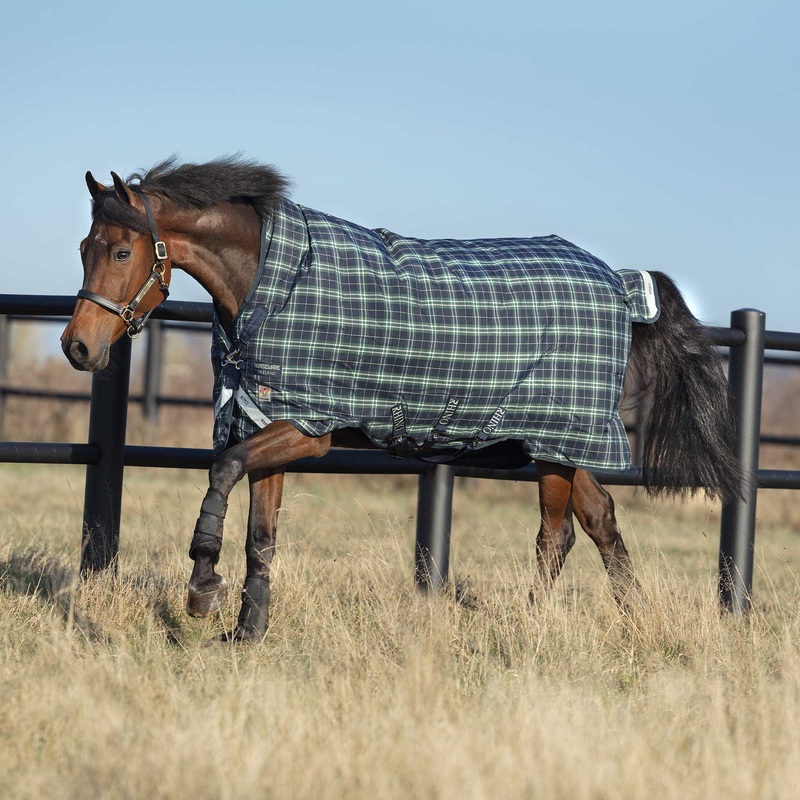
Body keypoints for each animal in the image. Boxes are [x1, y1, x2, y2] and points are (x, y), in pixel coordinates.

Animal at [61, 157, 741, 642]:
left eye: (121, 251)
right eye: (83, 249)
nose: (77, 347)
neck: (273, 281)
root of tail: (620, 284)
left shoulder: (306, 427)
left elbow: (222, 473)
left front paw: (202, 586)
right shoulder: (265, 420)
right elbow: (261, 531)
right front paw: (246, 631)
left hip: (556, 439)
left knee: (557, 535)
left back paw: (531, 630)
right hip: (561, 446)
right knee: (599, 518)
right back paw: (636, 621)